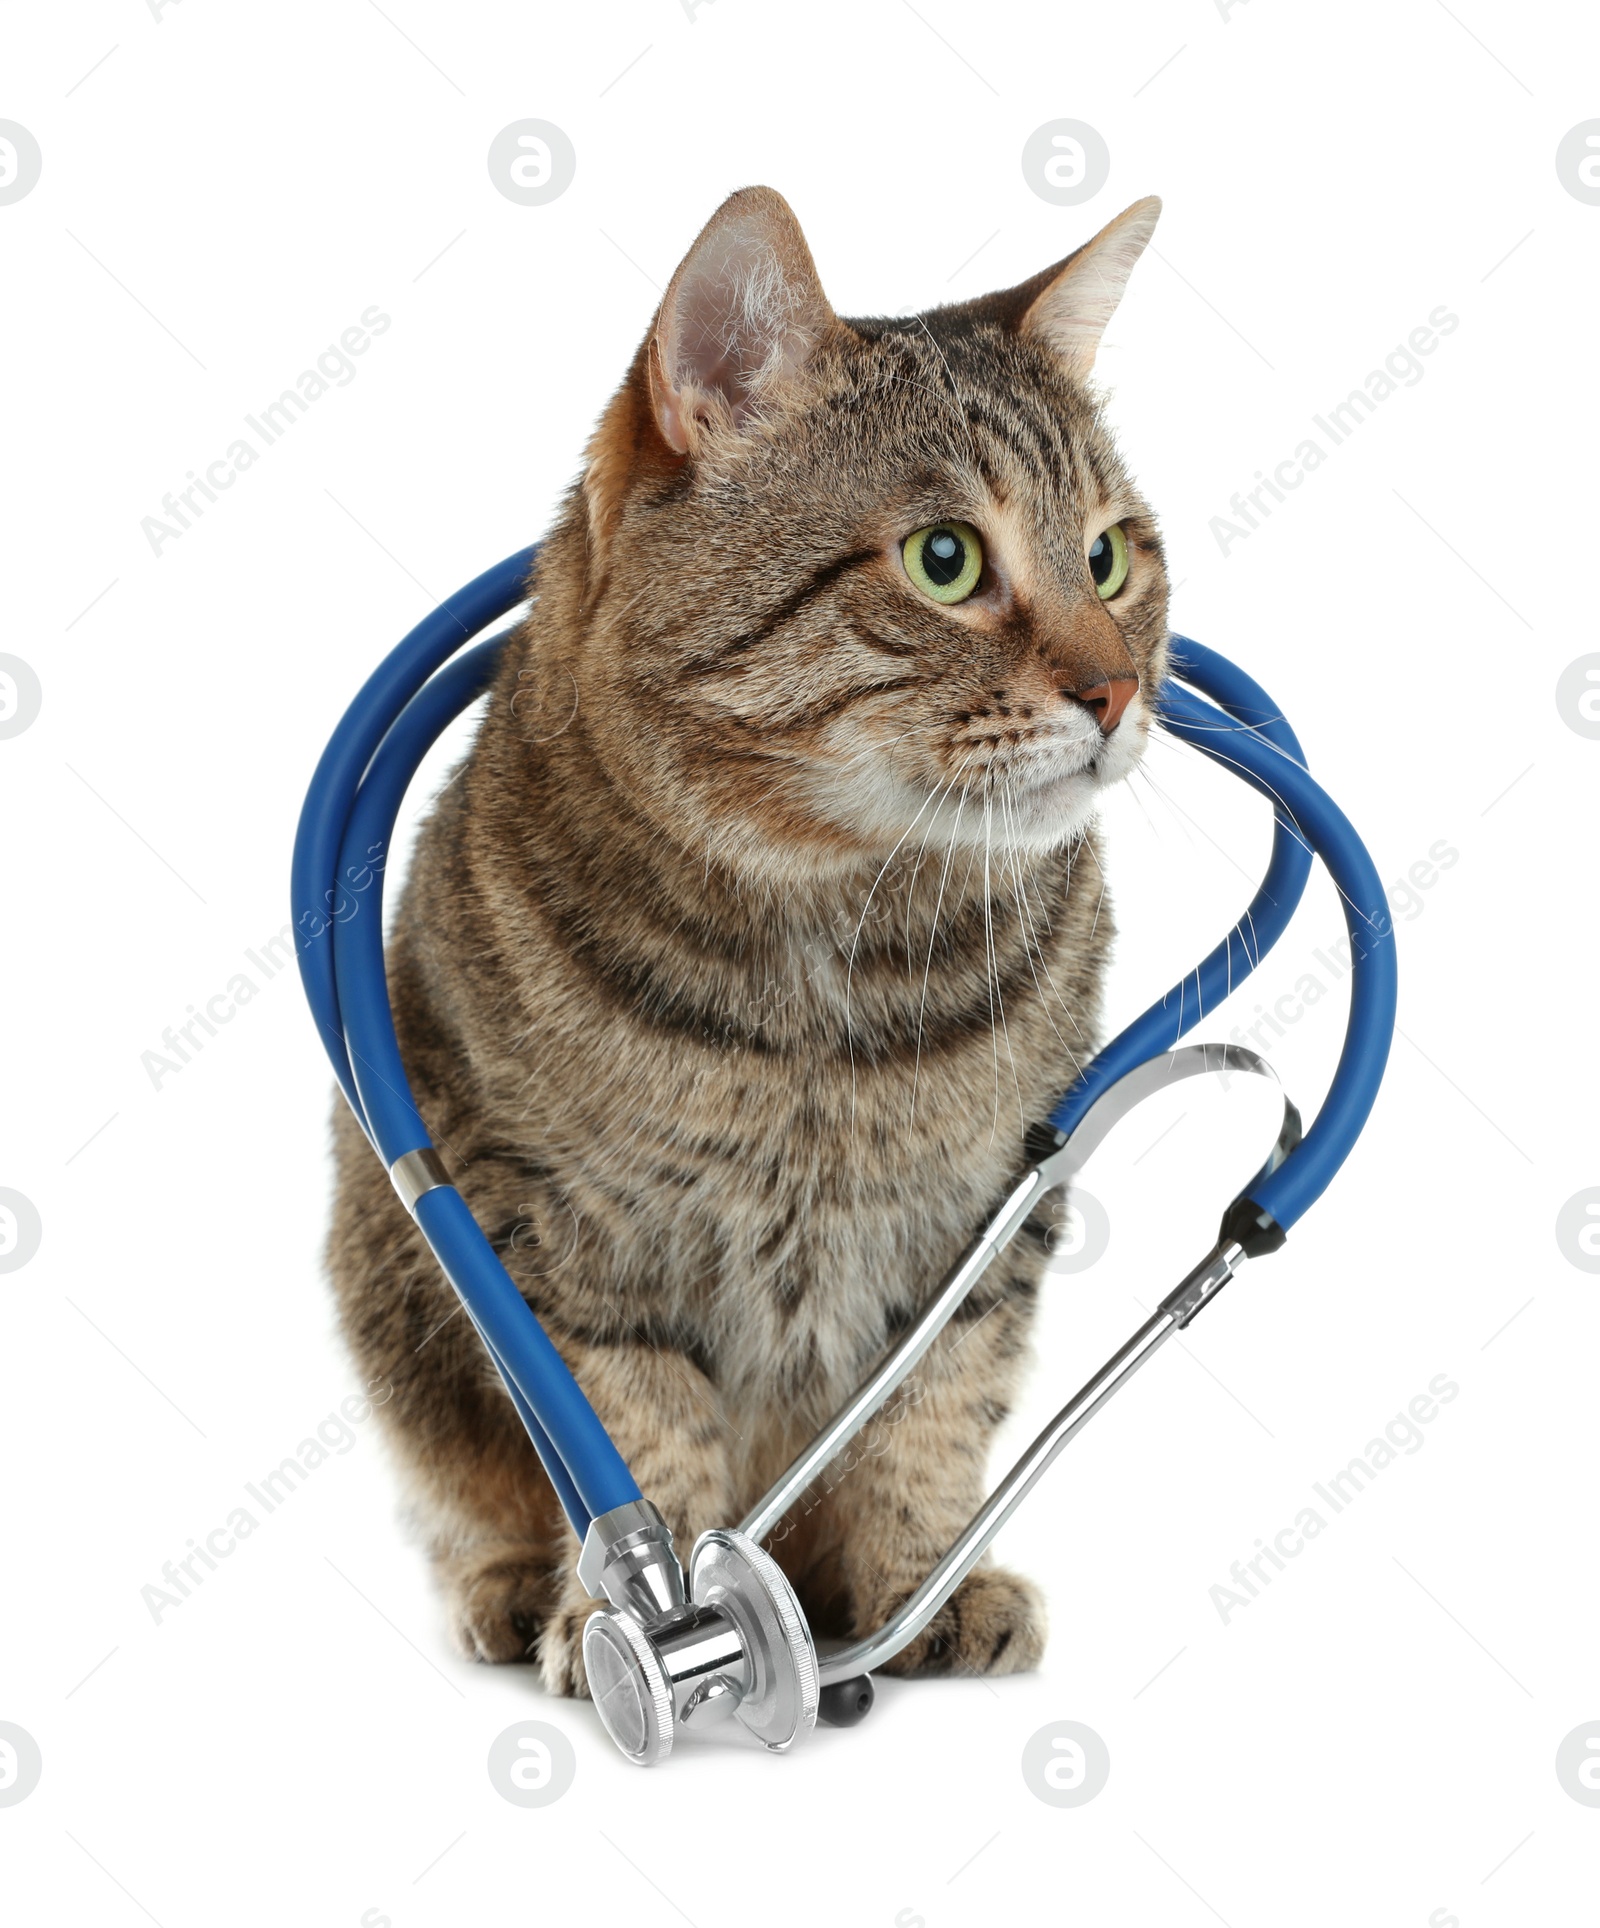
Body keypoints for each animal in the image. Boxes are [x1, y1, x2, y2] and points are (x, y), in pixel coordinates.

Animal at [331, 181, 1172, 1688]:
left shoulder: (986, 1211)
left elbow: (931, 1408)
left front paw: (917, 1586)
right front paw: (644, 1624)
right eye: (944, 560)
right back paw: (511, 1587)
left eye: (1108, 555)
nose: (1119, 688)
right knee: (464, 1490)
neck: (834, 941)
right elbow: (637, 1422)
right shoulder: (549, 1222)